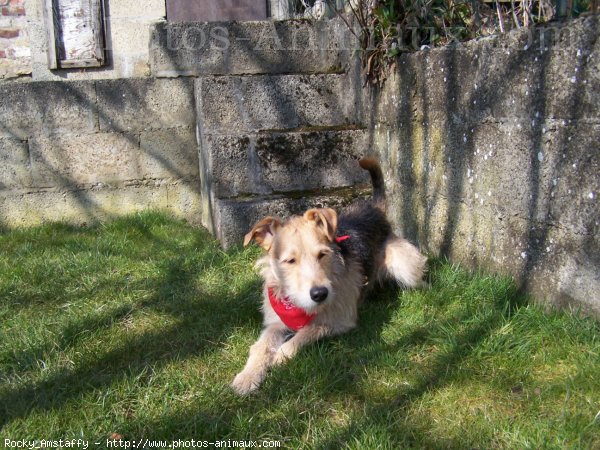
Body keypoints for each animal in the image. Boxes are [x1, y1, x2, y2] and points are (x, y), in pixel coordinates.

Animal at [231, 157, 426, 394]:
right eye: (290, 261)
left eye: (322, 254)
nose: (319, 294)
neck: (300, 306)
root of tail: (373, 209)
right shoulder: (275, 323)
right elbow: (260, 346)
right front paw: (247, 376)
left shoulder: (340, 320)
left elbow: (306, 332)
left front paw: (281, 354)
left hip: (405, 265)